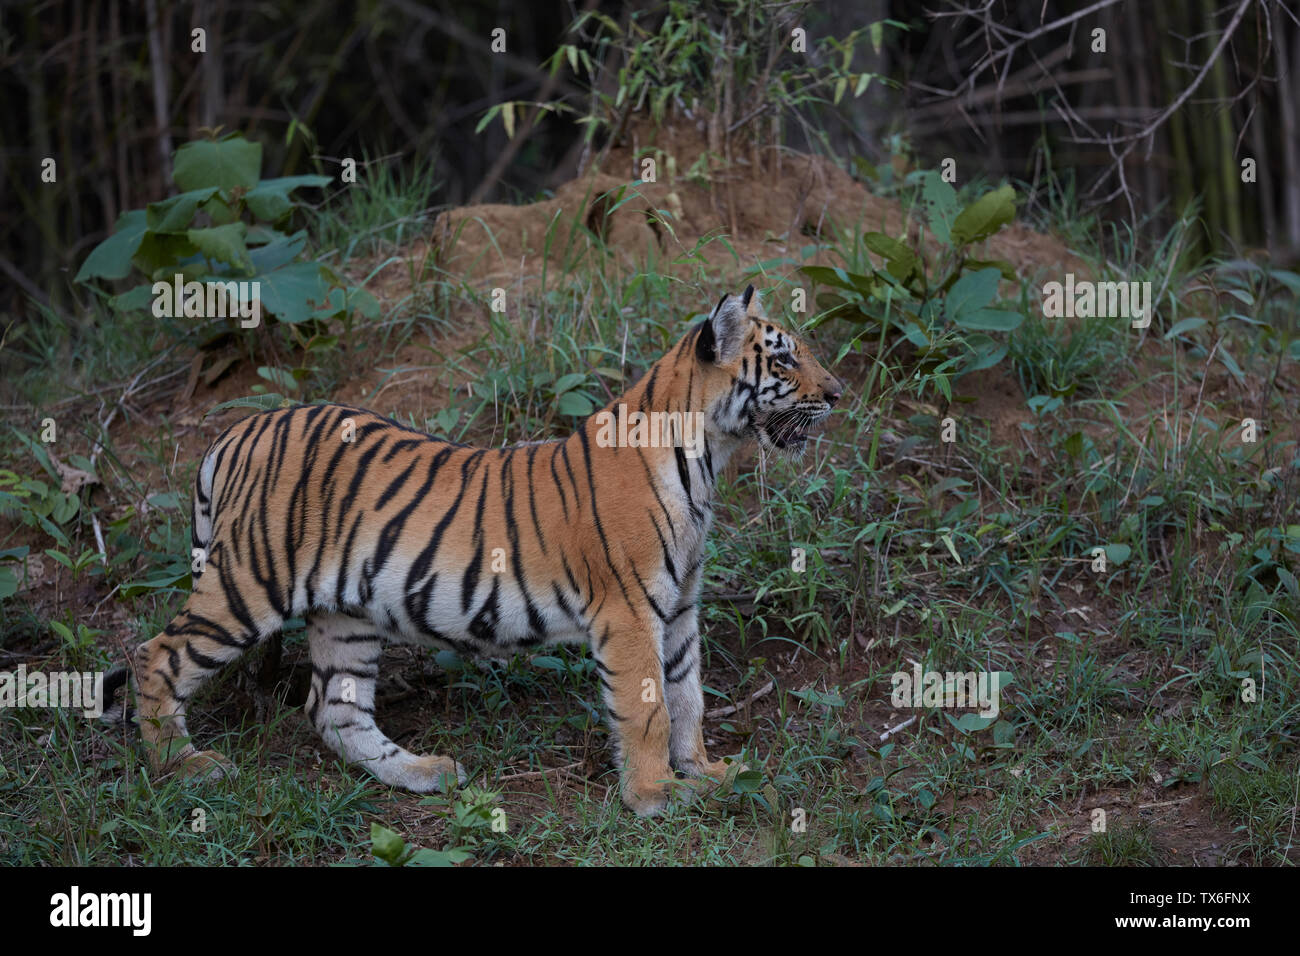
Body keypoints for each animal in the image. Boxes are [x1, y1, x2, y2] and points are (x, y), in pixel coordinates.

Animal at [122, 283, 842, 816]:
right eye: (783, 360)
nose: (837, 394)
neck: (707, 458)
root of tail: (237, 431)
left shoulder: (682, 606)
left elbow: (689, 696)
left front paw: (708, 773)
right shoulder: (631, 609)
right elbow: (648, 708)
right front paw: (655, 796)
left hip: (345, 614)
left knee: (333, 710)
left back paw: (425, 773)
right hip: (249, 583)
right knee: (154, 656)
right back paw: (185, 766)